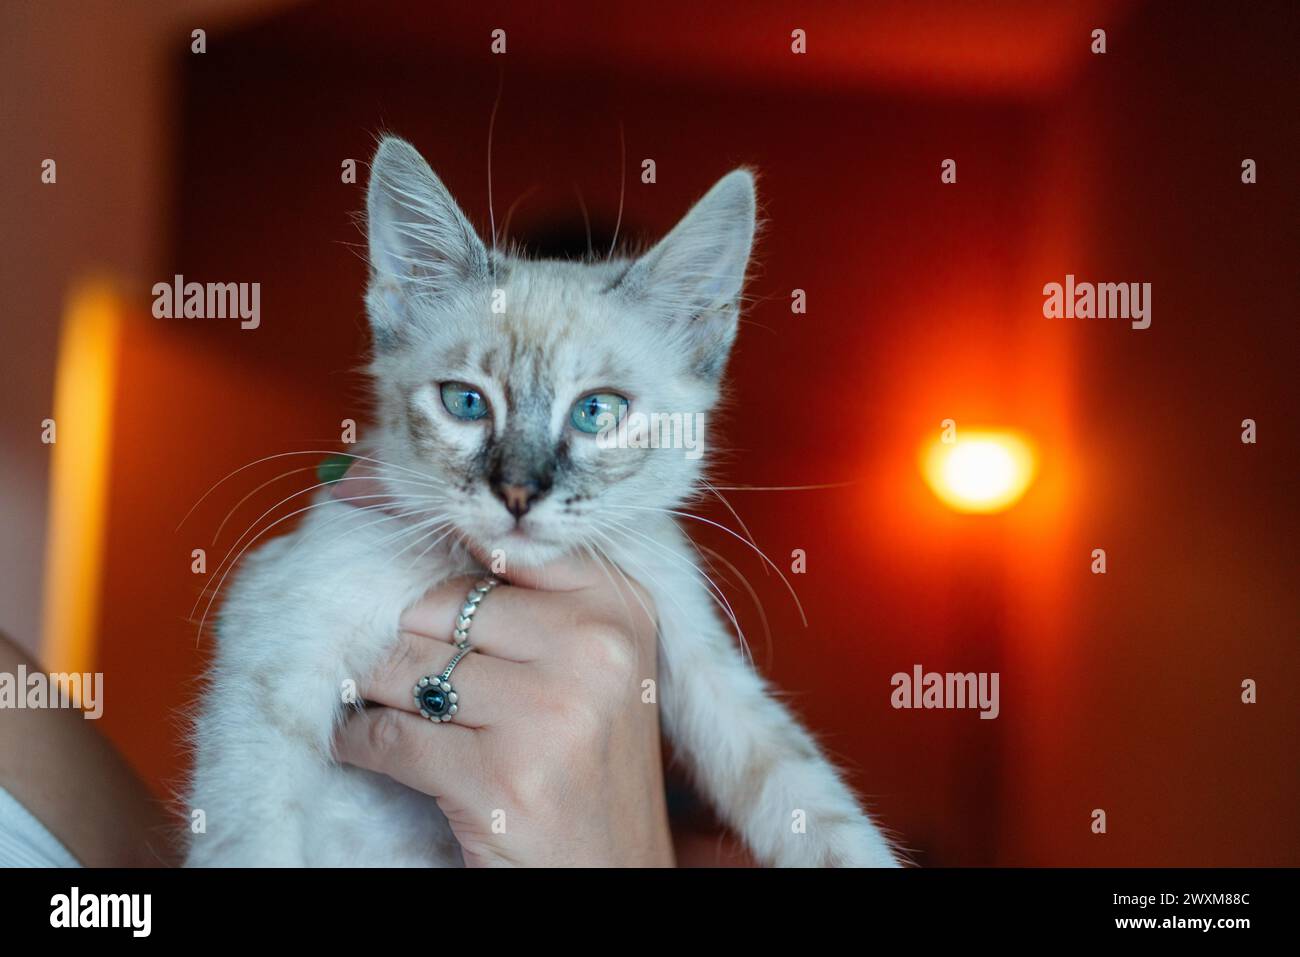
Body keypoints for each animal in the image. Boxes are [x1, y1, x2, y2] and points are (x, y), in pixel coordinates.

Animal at [183, 136, 899, 868]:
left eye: (596, 412)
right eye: (466, 402)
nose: (519, 492)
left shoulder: (700, 655)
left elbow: (810, 797)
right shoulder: (276, 641)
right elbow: (250, 828)